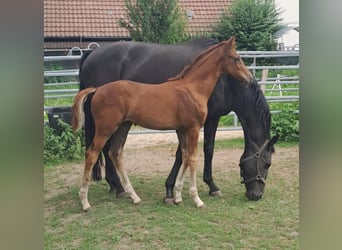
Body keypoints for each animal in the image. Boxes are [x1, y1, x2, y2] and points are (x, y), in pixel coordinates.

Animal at [79, 36, 276, 201]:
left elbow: (193, 152)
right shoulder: (208, 120)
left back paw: (115, 186)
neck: (226, 82)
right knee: (104, 150)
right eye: (267, 164)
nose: (256, 195)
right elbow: (202, 151)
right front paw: (202, 187)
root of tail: (92, 54)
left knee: (108, 150)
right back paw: (118, 188)